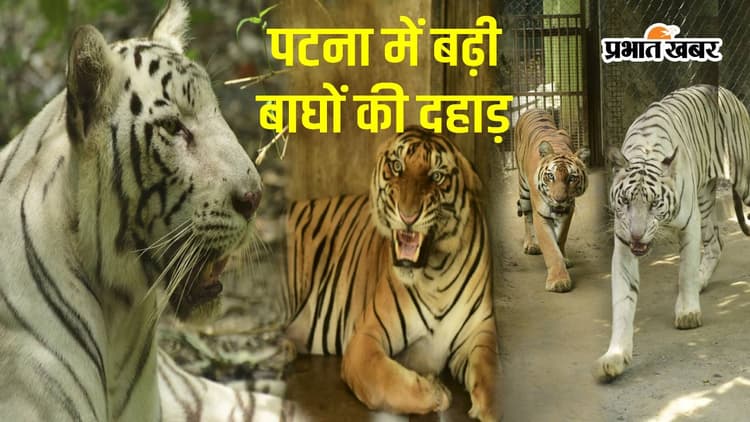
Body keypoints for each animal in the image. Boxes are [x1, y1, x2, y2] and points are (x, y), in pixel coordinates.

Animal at [282, 126, 500, 421]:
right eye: (397, 167)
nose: (407, 215)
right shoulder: (365, 339)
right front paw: (436, 391)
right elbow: (385, 383)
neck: (436, 273)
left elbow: (491, 379)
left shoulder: (480, 333)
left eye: (437, 176)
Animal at [514, 109, 590, 292]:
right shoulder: (541, 215)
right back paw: (530, 244)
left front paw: (564, 258)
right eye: (550, 176)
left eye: (572, 178)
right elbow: (550, 248)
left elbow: (560, 238)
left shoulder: (568, 211)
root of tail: (530, 109)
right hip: (524, 190)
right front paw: (559, 281)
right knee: (527, 218)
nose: (559, 199)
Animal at [595, 84, 750, 381]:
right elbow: (623, 300)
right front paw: (616, 356)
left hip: (741, 182)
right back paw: (703, 279)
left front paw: (688, 313)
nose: (637, 236)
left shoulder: (688, 225)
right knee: (717, 241)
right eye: (625, 201)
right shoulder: (623, 245)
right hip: (704, 200)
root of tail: (724, 91)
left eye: (654, 203)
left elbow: (685, 271)